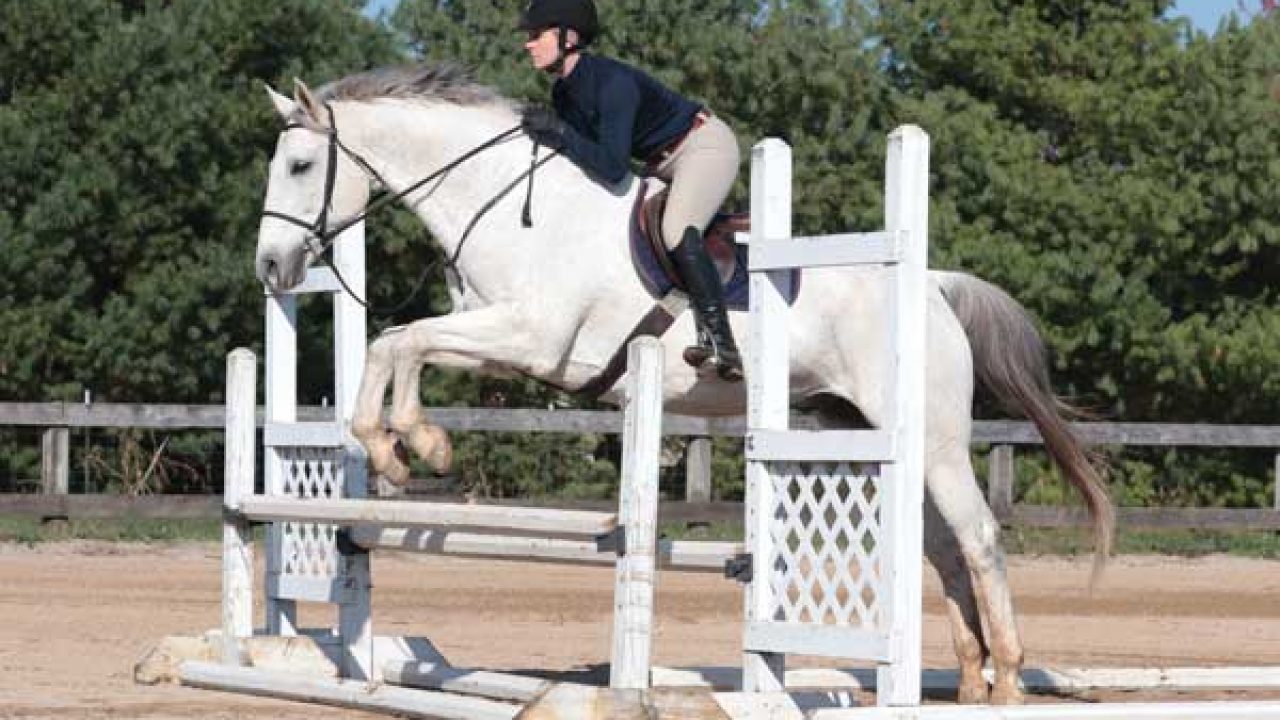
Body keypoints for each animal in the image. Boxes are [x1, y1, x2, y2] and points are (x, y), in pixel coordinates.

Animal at [253, 63, 1113, 705]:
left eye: (300, 166)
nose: (271, 268)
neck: (508, 207)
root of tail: (930, 284)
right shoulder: (501, 343)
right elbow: (398, 345)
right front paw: (402, 445)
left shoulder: (533, 337)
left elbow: (405, 339)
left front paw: (409, 446)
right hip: (868, 426)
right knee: (938, 548)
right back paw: (968, 679)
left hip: (932, 441)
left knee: (979, 538)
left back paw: (1009, 680)